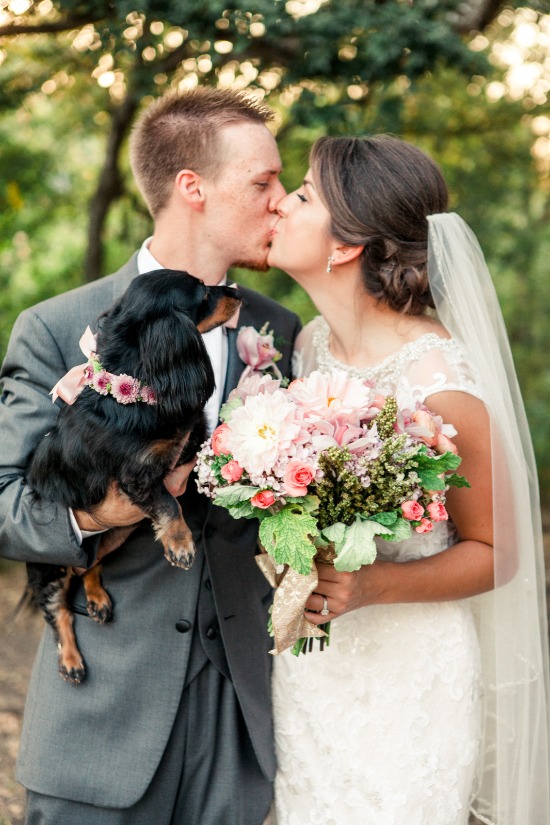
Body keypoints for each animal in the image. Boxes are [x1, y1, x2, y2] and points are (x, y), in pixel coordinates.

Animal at [24, 270, 242, 684]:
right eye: (203, 292)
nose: (237, 294)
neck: (138, 391)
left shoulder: (189, 442)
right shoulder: (137, 475)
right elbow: (169, 503)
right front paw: (180, 544)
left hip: (112, 538)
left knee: (90, 565)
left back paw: (97, 599)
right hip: (53, 564)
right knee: (59, 608)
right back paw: (71, 660)